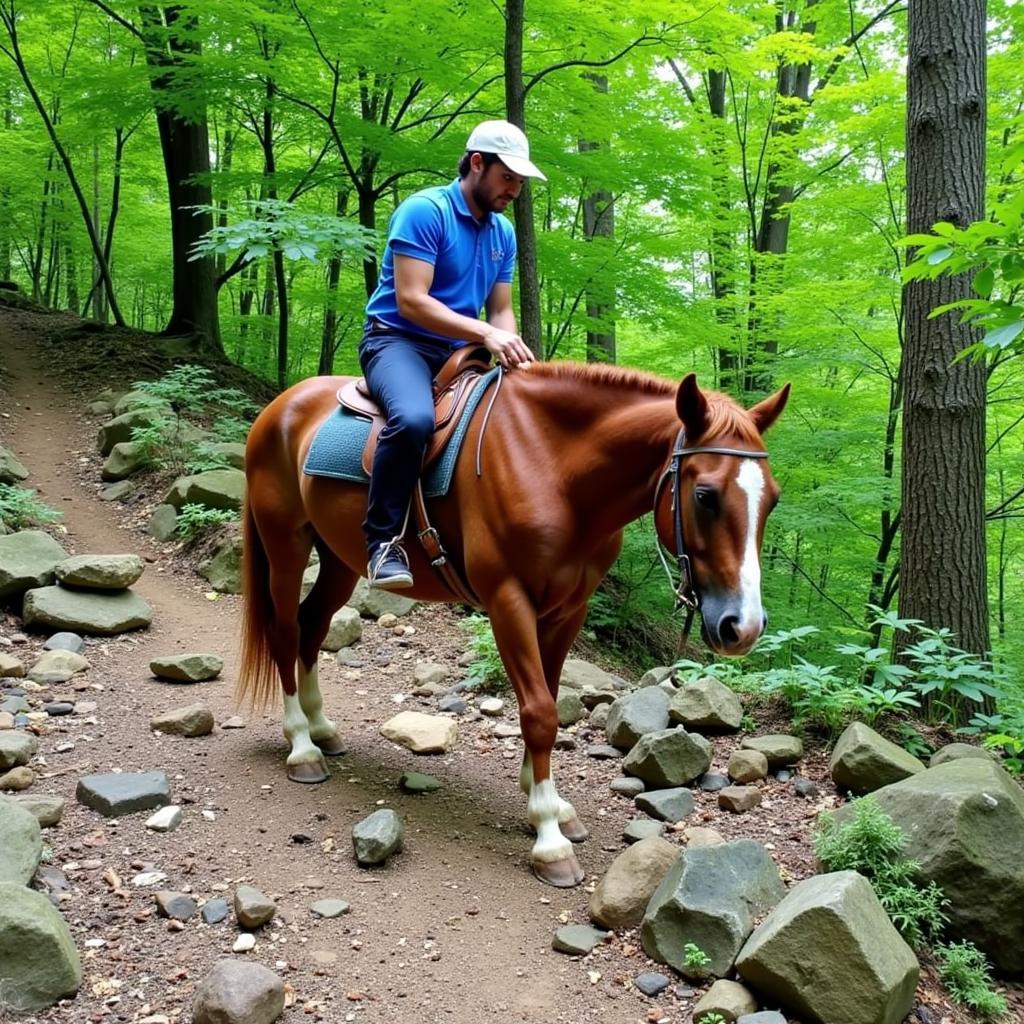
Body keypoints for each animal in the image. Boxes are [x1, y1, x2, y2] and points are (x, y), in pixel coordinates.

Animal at [235, 364, 786, 884]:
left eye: (773, 499)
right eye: (706, 495)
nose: (744, 626)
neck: (554, 469)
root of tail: (280, 407)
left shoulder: (568, 609)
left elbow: (549, 700)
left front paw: (552, 805)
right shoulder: (508, 601)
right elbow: (538, 713)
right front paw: (549, 839)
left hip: (340, 559)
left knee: (312, 626)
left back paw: (322, 729)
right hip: (285, 546)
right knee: (287, 631)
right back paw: (302, 747)